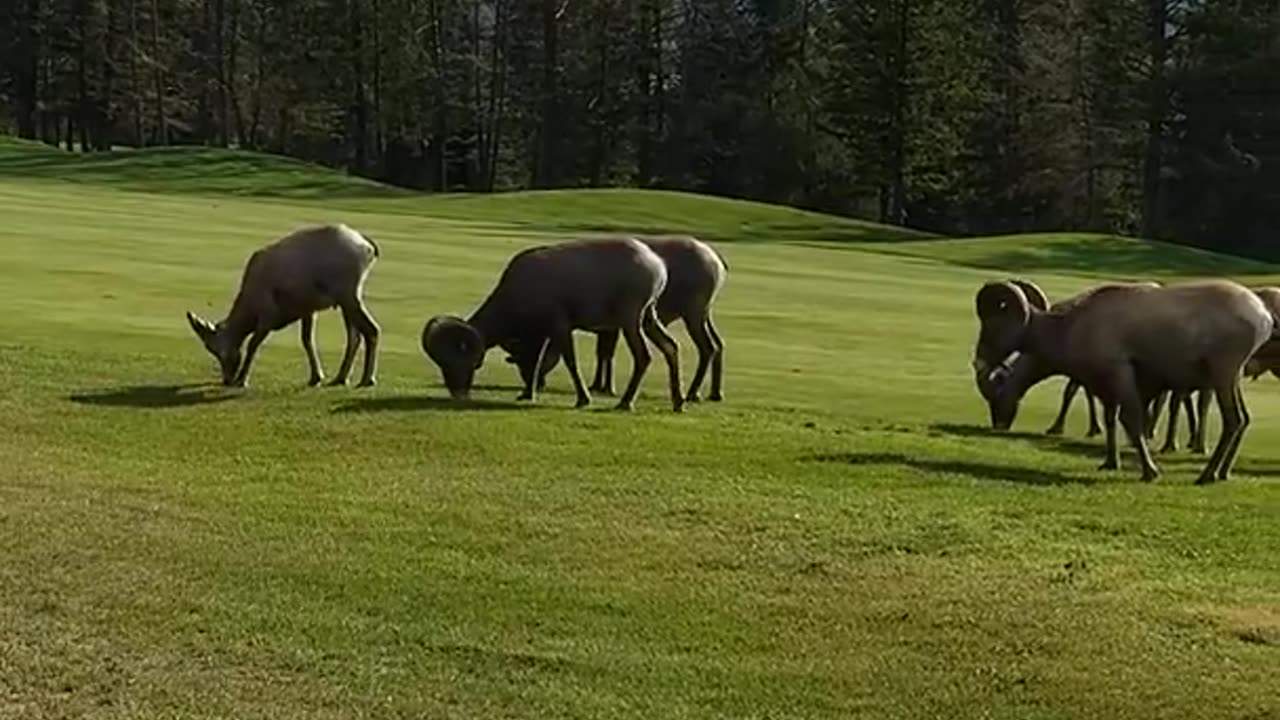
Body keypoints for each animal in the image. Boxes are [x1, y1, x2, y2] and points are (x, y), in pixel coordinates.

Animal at [183, 221, 378, 386]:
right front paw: (316, 378)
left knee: (371, 330)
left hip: (348, 294)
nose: (226, 380)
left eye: (215, 349)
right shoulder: (308, 309)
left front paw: (242, 381)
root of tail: (368, 247)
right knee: (355, 336)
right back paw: (341, 378)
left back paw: (367, 379)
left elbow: (253, 344)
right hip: (346, 299)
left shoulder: (267, 315)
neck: (250, 307)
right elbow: (307, 340)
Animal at [419, 237, 686, 409]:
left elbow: (570, 362)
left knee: (643, 356)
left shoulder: (560, 328)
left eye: (460, 360)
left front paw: (583, 400)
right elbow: (537, 361)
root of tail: (657, 264)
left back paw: (625, 403)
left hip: (631, 320)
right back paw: (678, 403)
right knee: (671, 347)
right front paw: (527, 395)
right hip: (649, 317)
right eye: (442, 364)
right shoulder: (543, 335)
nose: (458, 394)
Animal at [506, 234, 732, 404]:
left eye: (528, 358)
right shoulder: (608, 327)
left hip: (692, 313)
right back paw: (714, 393)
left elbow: (606, 353)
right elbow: (603, 353)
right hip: (703, 313)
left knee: (707, 347)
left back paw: (692, 393)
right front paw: (599, 385)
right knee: (718, 344)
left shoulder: (610, 326)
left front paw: (606, 388)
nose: (534, 382)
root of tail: (719, 264)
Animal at [972, 279, 1274, 481]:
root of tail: (1262, 315)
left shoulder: (1122, 375)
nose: (979, 360)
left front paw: (1150, 472)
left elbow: (1132, 422)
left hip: (1223, 375)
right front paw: (1110, 463)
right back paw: (1222, 474)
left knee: (1233, 420)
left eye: (992, 325)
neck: (1071, 328)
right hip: (1232, 379)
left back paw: (1206, 476)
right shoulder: (1106, 388)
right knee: (1243, 420)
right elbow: (1111, 421)